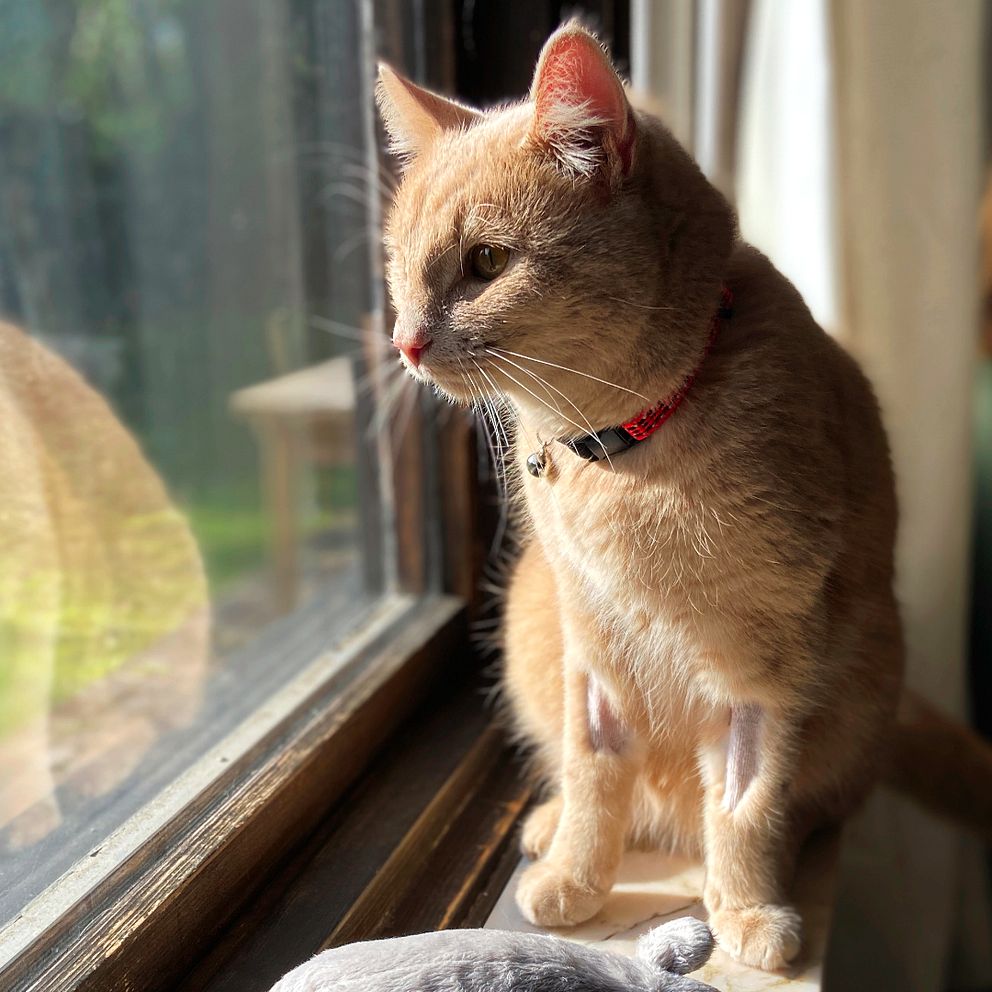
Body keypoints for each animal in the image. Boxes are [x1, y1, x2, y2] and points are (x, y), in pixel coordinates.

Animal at [376, 22, 992, 971]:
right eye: (399, 267)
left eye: (486, 262)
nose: (405, 342)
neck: (626, 458)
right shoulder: (593, 647)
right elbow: (595, 777)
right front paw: (576, 876)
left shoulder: (763, 674)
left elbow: (745, 806)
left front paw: (747, 912)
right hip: (530, 617)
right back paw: (550, 828)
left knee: (786, 810)